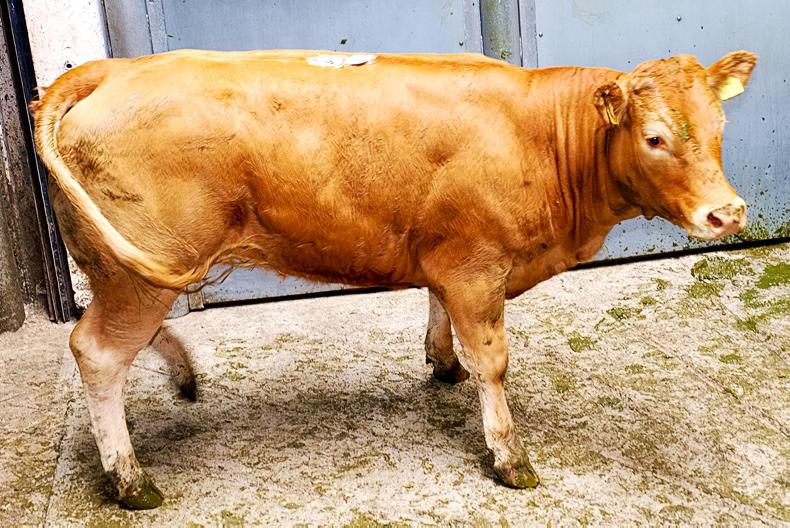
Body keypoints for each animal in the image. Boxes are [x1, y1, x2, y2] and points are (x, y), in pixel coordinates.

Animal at [32, 48, 756, 509]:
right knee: (98, 351)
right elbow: (493, 360)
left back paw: (180, 372)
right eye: (656, 137)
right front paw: (510, 457)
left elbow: (437, 311)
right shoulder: (476, 265)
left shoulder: (445, 255)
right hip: (142, 267)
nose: (727, 212)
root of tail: (111, 68)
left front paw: (442, 363)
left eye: (721, 126)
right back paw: (130, 481)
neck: (540, 137)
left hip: (123, 262)